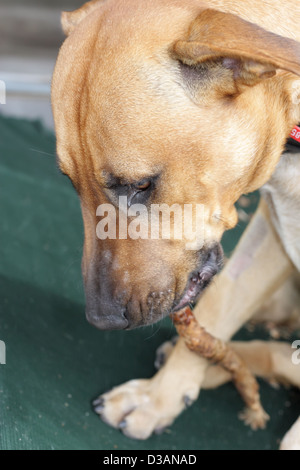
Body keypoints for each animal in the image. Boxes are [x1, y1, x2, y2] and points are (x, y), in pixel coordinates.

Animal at [51, 0, 300, 448]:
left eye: (140, 185)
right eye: (71, 182)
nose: (101, 320)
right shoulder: (272, 228)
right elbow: (219, 306)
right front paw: (159, 396)